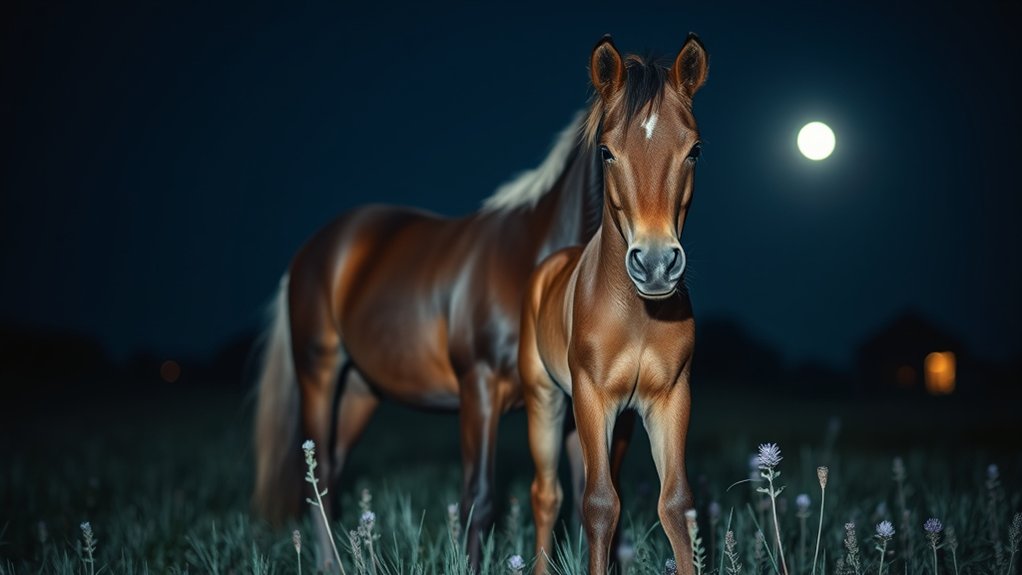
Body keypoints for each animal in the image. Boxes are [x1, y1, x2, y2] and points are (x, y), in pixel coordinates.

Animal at [251, 83, 608, 566]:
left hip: (360, 391)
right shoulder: (479, 391)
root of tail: (310, 252)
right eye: (609, 148)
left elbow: (580, 494)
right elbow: (479, 498)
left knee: (333, 469)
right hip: (318, 375)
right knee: (320, 471)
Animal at [519, 34, 708, 575]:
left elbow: (676, 504)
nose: (657, 264)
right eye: (606, 151)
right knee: (549, 494)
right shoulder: (590, 395)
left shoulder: (670, 397)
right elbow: (599, 503)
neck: (637, 314)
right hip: (546, 399)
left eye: (694, 150)